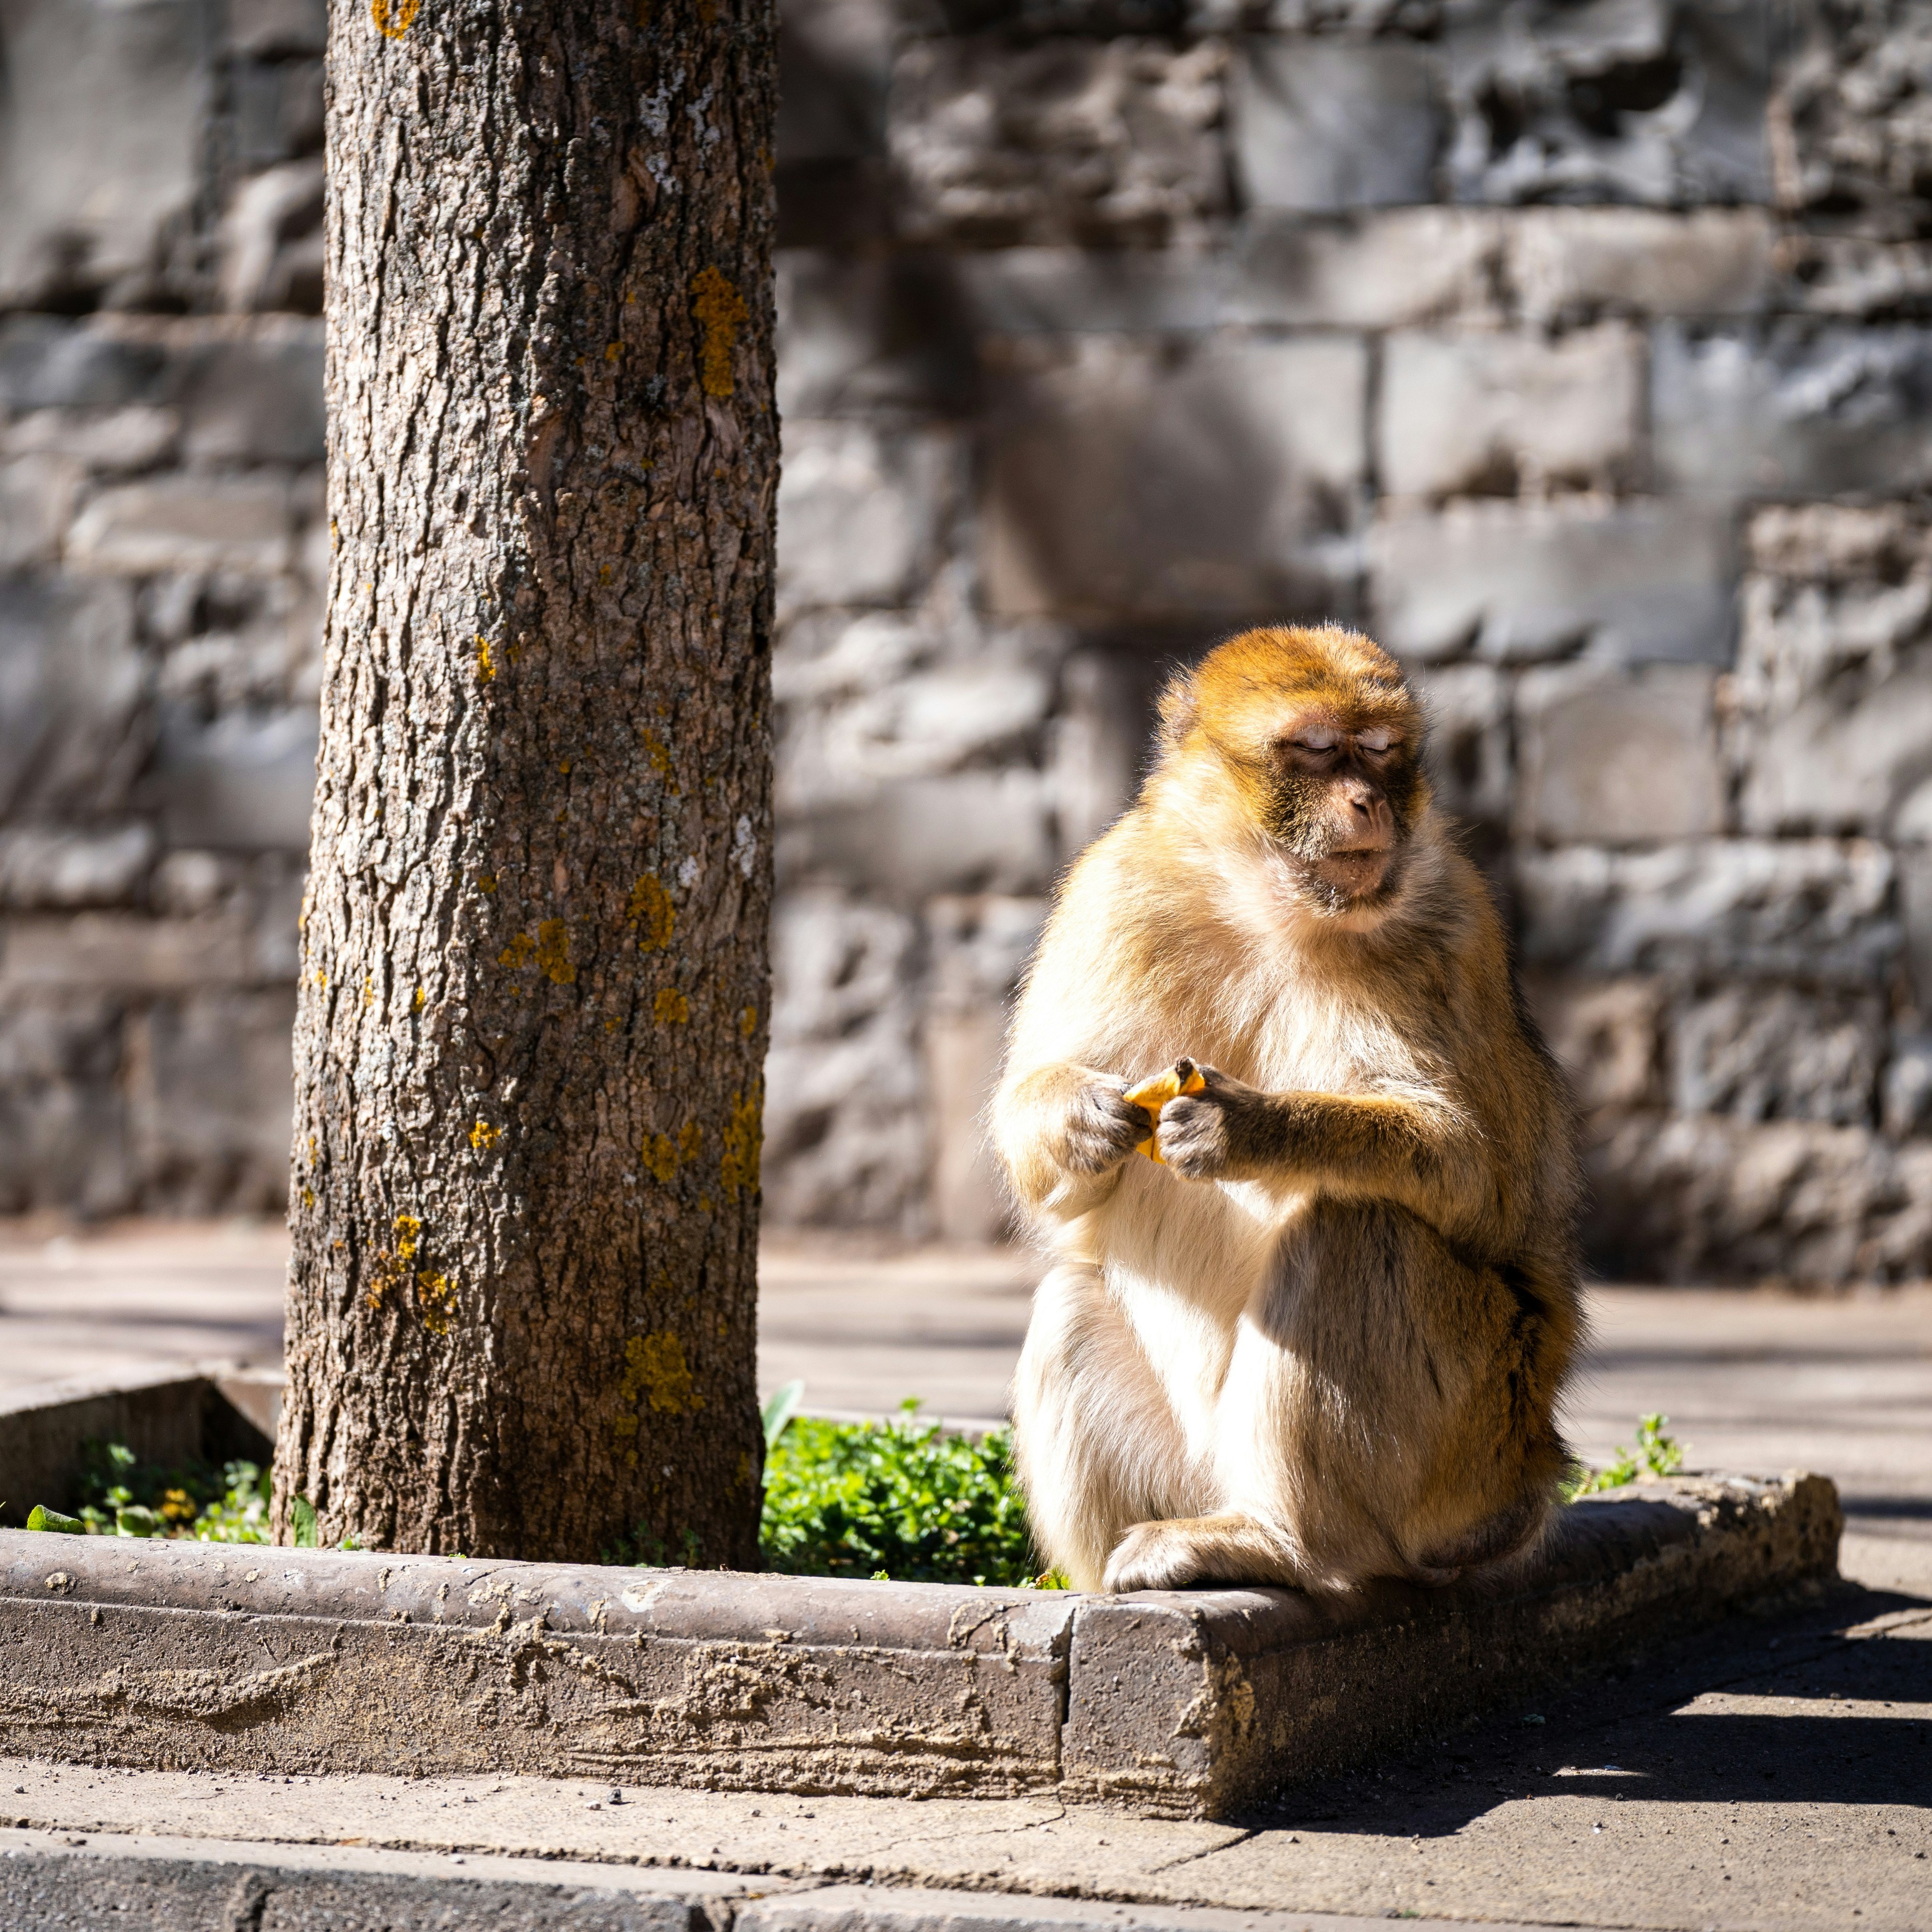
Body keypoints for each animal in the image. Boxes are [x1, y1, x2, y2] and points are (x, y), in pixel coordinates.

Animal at [991, 624, 1581, 1596]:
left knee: (1354, 1229)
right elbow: (1052, 1183)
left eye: (1379, 751)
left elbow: (1468, 1168)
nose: (1367, 802)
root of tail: (1527, 1473)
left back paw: (1280, 1543)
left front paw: (1251, 1127)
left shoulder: (1455, 928)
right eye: (1315, 748)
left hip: (1471, 1443)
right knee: (1070, 1300)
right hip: (1192, 1463)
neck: (1263, 907)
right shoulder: (1111, 893)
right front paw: (1079, 1115)